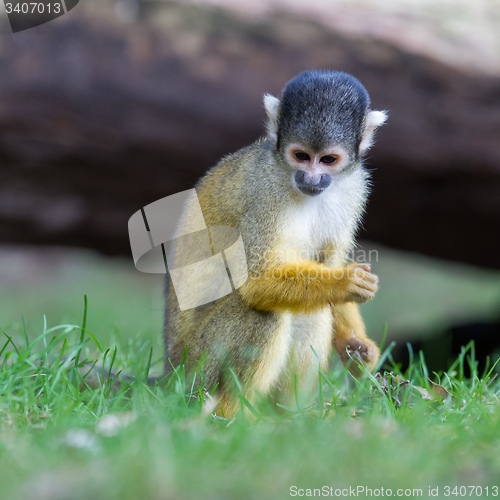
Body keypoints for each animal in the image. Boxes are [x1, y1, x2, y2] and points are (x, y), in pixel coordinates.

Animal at [164, 68, 386, 416]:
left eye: (328, 160)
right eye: (301, 156)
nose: (311, 179)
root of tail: (168, 374)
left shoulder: (354, 187)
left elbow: (328, 263)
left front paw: (357, 347)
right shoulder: (263, 193)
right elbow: (256, 283)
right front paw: (345, 281)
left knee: (310, 309)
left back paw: (292, 416)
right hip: (196, 370)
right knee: (264, 313)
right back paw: (232, 415)